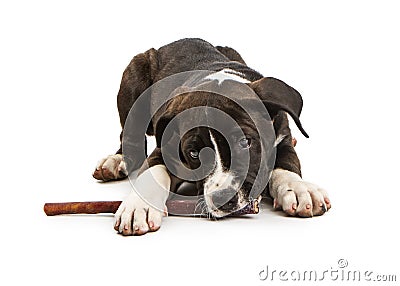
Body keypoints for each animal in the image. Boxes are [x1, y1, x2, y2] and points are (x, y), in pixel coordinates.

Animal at [92, 37, 330, 235]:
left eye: (245, 142)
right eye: (193, 153)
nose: (223, 198)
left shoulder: (282, 137)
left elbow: (286, 165)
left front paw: (299, 189)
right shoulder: (165, 147)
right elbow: (153, 172)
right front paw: (138, 206)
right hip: (134, 75)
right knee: (129, 134)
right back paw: (115, 160)